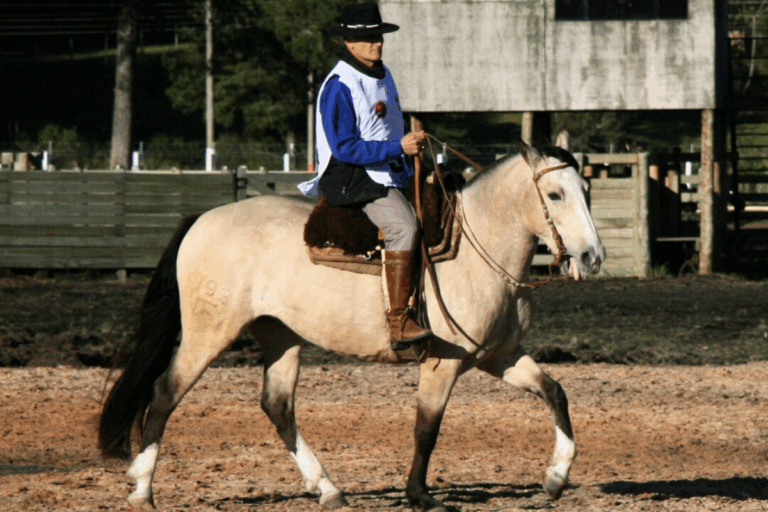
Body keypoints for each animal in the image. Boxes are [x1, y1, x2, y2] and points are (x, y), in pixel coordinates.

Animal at [98, 140, 605, 511]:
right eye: (555, 194)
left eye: (586, 190)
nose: (591, 257)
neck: (478, 248)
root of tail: (202, 219)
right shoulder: (442, 364)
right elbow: (427, 428)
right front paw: (421, 496)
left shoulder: (499, 357)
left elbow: (555, 392)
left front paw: (556, 477)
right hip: (209, 334)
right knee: (166, 392)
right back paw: (142, 488)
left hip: (281, 337)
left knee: (277, 405)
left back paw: (327, 488)